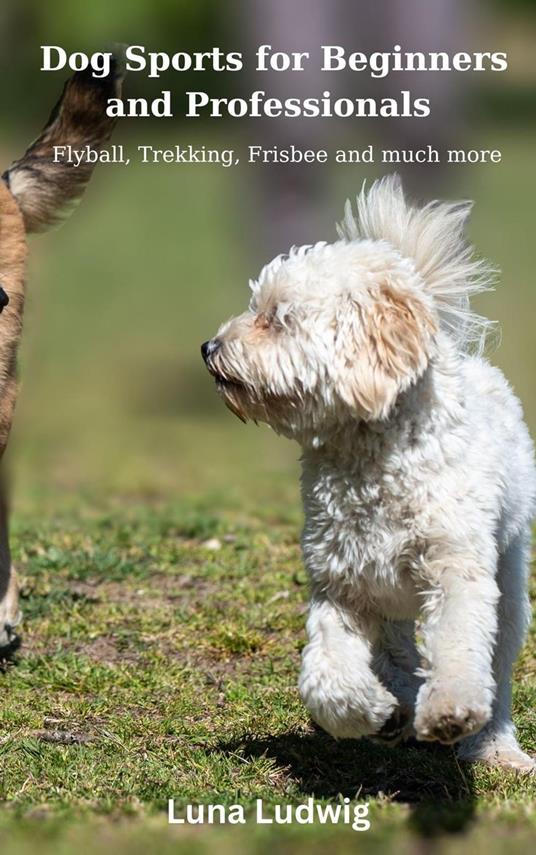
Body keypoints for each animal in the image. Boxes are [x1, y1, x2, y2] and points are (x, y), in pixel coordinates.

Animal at [202, 177, 536, 772]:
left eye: (277, 317)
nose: (208, 348)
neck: (370, 460)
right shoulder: (342, 586)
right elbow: (326, 679)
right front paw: (377, 715)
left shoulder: (456, 569)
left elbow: (459, 647)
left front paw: (448, 711)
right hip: (389, 599)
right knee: (397, 650)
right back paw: (401, 698)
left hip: (509, 576)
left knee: (495, 665)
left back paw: (495, 744)